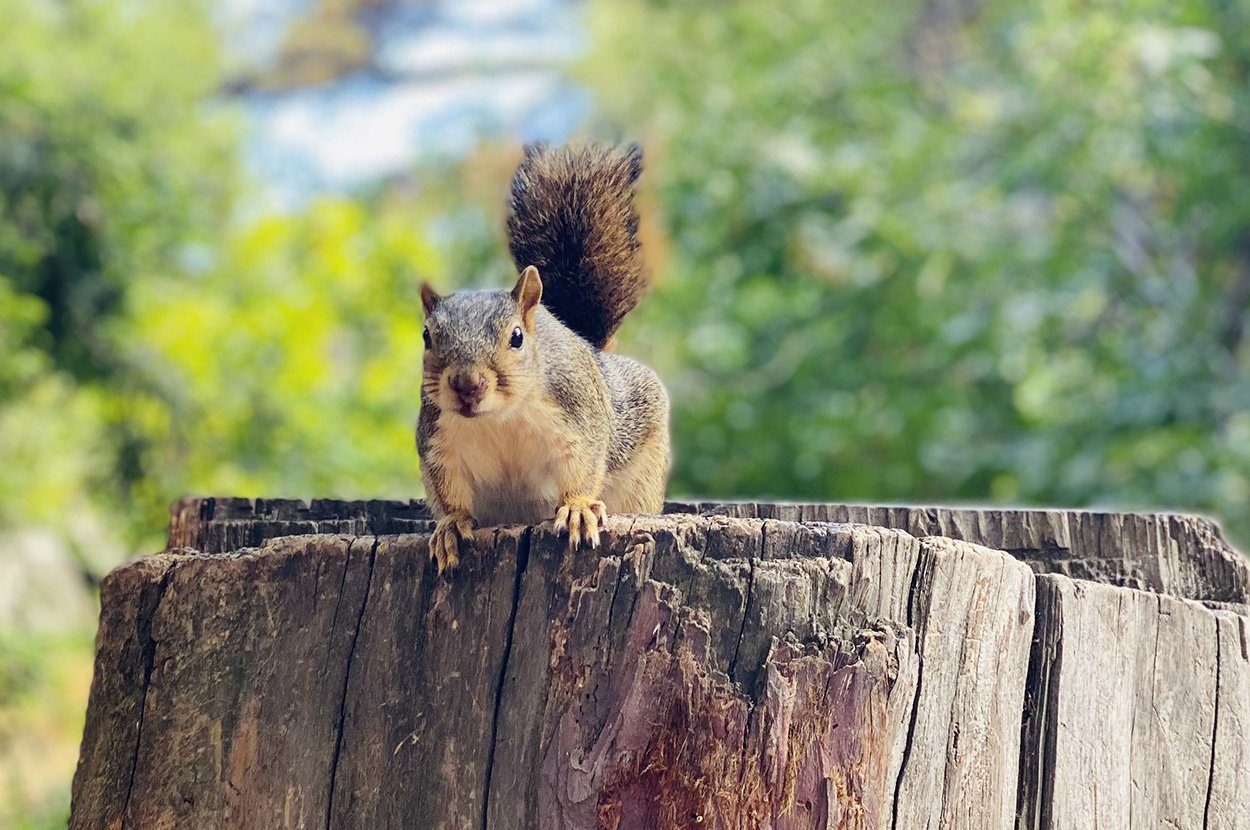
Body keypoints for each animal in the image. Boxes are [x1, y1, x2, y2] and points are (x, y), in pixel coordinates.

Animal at [417, 143, 671, 573]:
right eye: (426, 337)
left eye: (516, 337)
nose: (468, 385)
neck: (499, 419)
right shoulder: (438, 439)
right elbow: (448, 489)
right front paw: (451, 525)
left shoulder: (578, 418)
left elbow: (582, 467)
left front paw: (578, 508)